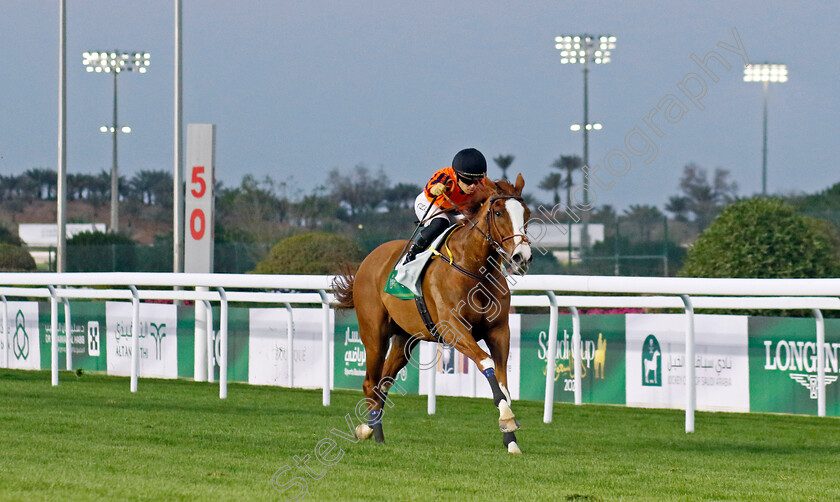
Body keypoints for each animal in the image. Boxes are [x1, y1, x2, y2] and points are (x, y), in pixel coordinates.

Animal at [334, 176, 532, 454]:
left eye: (526, 213)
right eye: (498, 212)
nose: (522, 257)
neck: (474, 269)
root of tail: (369, 259)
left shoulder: (499, 331)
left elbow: (504, 384)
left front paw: (510, 438)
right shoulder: (454, 329)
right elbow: (486, 362)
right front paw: (507, 419)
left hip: (405, 338)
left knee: (384, 381)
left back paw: (378, 433)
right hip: (374, 334)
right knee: (370, 382)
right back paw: (366, 429)